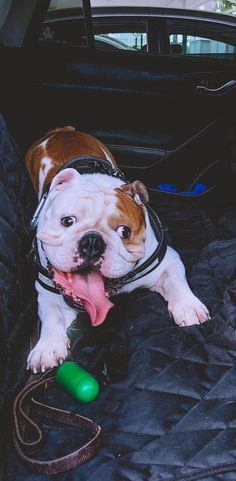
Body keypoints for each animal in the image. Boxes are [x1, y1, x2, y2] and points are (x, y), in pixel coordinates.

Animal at [25, 126, 210, 372]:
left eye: (124, 232)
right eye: (67, 221)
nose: (92, 241)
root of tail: (61, 131)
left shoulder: (168, 262)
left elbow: (176, 283)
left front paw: (189, 307)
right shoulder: (48, 294)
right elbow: (52, 317)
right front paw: (47, 347)